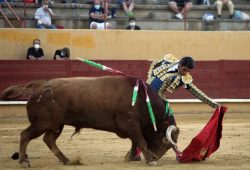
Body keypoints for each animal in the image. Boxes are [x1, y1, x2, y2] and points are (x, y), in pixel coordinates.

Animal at [0, 76, 180, 167]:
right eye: (165, 141)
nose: (156, 156)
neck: (143, 99)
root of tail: (37, 87)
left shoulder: (132, 126)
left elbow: (135, 141)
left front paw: (133, 157)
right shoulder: (130, 122)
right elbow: (141, 141)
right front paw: (150, 160)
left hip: (56, 124)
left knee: (49, 139)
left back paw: (67, 160)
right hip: (43, 122)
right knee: (25, 135)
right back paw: (24, 161)